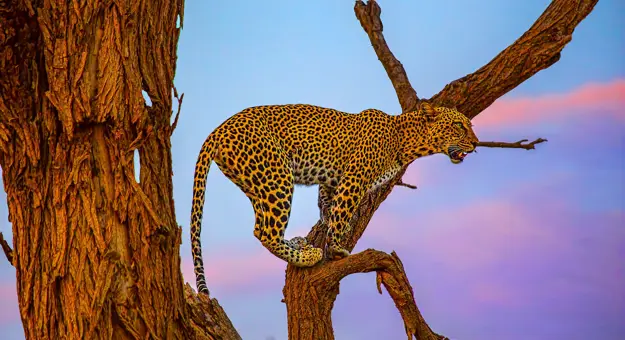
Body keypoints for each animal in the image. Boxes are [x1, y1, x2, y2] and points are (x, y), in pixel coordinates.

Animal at [189, 101, 478, 294]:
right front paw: (337, 247)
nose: (476, 144)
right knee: (265, 232)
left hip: (255, 183)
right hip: (277, 176)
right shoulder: (354, 178)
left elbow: (329, 206)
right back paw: (307, 256)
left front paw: (331, 228)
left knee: (262, 225)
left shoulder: (332, 180)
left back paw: (298, 245)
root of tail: (218, 129)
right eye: (458, 126)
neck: (404, 141)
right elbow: (343, 209)